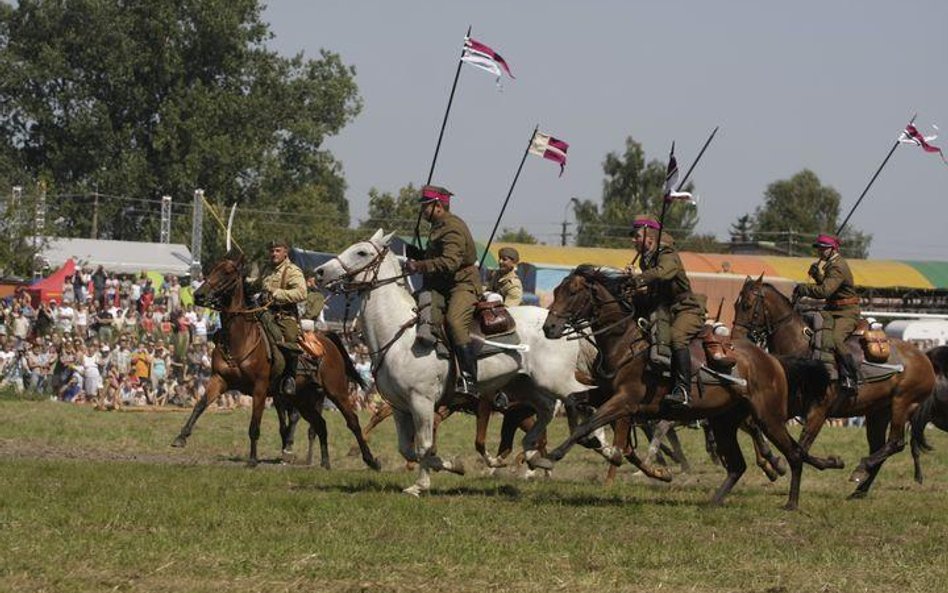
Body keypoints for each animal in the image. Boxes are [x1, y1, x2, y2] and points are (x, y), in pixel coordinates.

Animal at [172, 247, 380, 470]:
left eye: (227, 272)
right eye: (212, 269)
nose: (199, 295)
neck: (241, 338)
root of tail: (329, 341)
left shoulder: (260, 388)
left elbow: (255, 425)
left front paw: (253, 459)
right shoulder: (219, 379)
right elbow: (200, 405)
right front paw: (181, 437)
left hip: (336, 391)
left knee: (352, 422)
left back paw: (371, 460)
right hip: (303, 399)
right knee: (320, 425)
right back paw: (325, 462)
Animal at [314, 230, 588, 494]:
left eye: (361, 252)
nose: (320, 272)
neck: (399, 335)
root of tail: (559, 324)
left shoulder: (422, 402)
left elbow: (423, 446)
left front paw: (420, 485)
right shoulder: (400, 407)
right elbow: (408, 448)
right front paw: (452, 465)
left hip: (556, 381)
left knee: (580, 401)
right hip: (528, 386)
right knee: (547, 411)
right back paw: (535, 456)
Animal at [536, 264, 840, 508]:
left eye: (573, 292)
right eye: (557, 289)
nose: (549, 328)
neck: (625, 342)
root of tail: (773, 360)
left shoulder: (624, 401)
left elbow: (589, 425)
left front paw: (549, 457)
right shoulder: (605, 394)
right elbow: (575, 403)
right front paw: (589, 443)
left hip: (769, 418)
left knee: (795, 453)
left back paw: (792, 501)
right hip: (724, 421)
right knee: (738, 465)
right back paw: (714, 502)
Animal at [728, 276, 936, 494]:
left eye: (747, 305)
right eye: (735, 304)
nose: (734, 340)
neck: (802, 350)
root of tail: (924, 358)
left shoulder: (818, 411)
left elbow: (801, 448)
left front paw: (829, 463)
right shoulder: (784, 407)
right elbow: (757, 426)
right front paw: (773, 464)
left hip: (901, 404)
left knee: (895, 443)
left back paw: (861, 468)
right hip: (878, 413)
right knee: (880, 447)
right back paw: (859, 490)